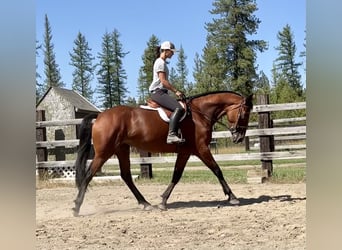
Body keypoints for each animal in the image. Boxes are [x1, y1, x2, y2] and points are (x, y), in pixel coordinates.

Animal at [73, 91, 254, 216]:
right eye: (244, 114)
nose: (239, 137)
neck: (199, 113)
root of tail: (100, 115)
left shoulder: (186, 152)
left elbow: (176, 175)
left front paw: (163, 201)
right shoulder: (201, 149)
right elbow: (217, 170)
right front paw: (232, 197)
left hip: (121, 149)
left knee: (126, 176)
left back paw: (145, 203)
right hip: (104, 153)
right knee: (89, 175)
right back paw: (76, 207)